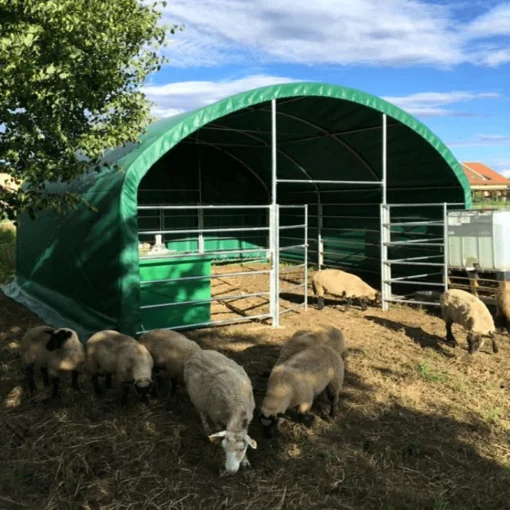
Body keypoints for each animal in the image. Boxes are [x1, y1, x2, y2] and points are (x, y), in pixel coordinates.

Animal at [183, 348, 256, 476]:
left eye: (241, 449)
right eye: (224, 448)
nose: (230, 470)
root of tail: (201, 351)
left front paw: (245, 460)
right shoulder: (216, 416)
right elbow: (218, 428)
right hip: (197, 398)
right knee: (202, 413)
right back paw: (206, 428)